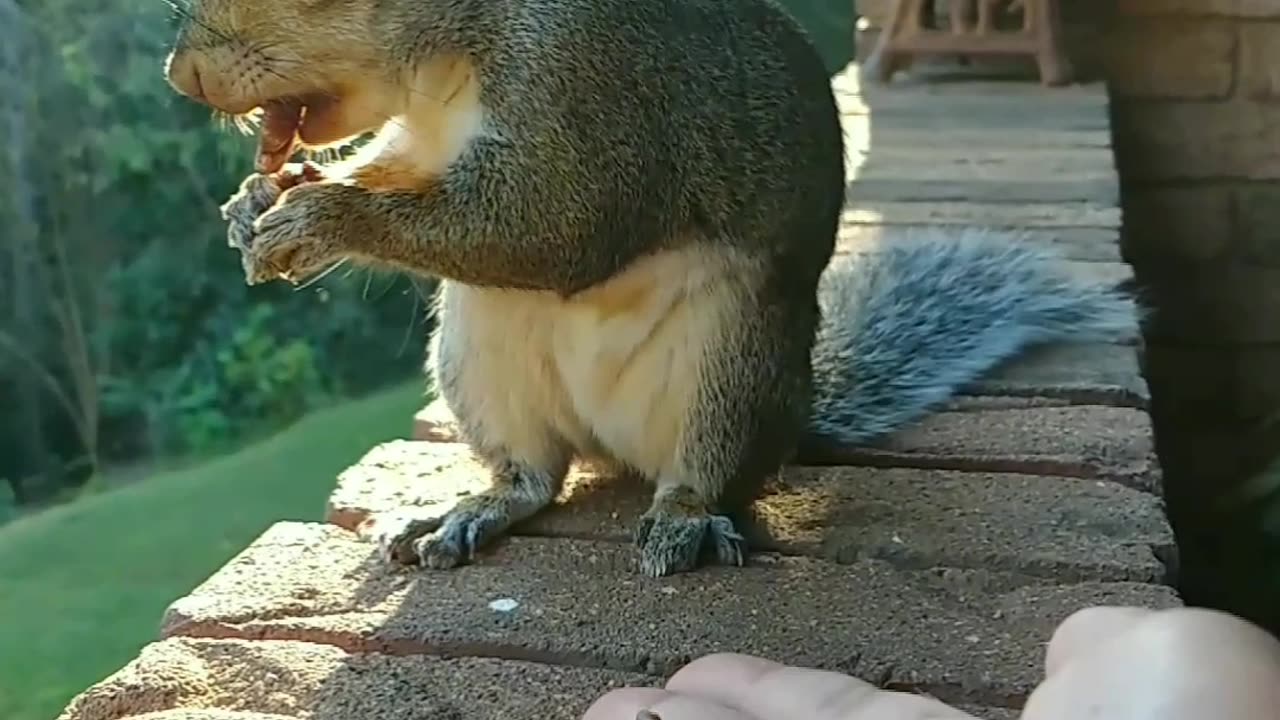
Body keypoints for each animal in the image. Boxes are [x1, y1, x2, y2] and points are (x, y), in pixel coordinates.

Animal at [162, 0, 1141, 573]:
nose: (181, 76)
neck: (449, 54)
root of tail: (614, 446)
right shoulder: (429, 134)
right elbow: (398, 166)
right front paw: (254, 205)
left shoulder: (591, 98)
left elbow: (550, 228)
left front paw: (319, 218)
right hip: (479, 357)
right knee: (534, 477)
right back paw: (477, 508)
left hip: (732, 366)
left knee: (707, 474)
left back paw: (687, 519)